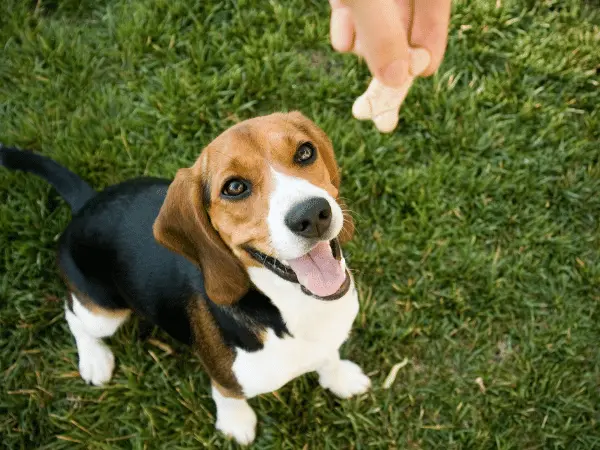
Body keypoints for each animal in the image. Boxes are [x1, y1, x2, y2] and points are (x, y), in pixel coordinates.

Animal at [0, 113, 370, 446]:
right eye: (235, 187)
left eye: (305, 152)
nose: (312, 214)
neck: (294, 305)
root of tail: (86, 204)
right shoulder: (225, 378)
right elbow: (227, 395)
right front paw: (236, 423)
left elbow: (329, 357)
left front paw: (339, 377)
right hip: (103, 313)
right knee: (75, 317)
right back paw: (94, 359)